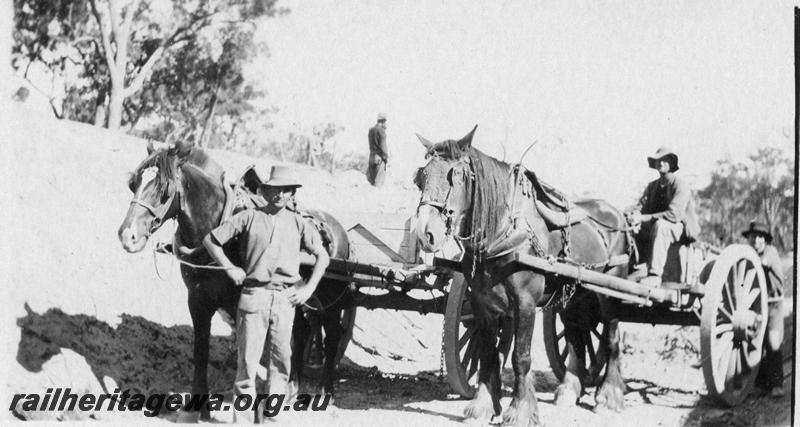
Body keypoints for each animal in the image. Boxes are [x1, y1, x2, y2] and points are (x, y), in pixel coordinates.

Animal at [116, 139, 350, 420]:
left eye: (165, 190)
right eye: (133, 184)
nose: (127, 236)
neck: (216, 228)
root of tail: (338, 229)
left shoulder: (245, 304)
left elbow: (252, 352)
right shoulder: (198, 300)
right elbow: (201, 350)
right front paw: (198, 407)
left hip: (329, 302)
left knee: (332, 337)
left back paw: (326, 390)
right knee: (302, 332)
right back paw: (292, 387)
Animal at [412, 125, 632, 426]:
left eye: (455, 176)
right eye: (420, 177)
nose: (426, 234)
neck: (503, 233)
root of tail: (618, 215)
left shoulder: (525, 303)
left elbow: (520, 356)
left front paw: (520, 410)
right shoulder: (482, 303)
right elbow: (488, 353)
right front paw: (483, 405)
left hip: (608, 293)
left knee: (611, 337)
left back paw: (608, 395)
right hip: (574, 297)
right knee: (576, 335)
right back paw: (569, 390)